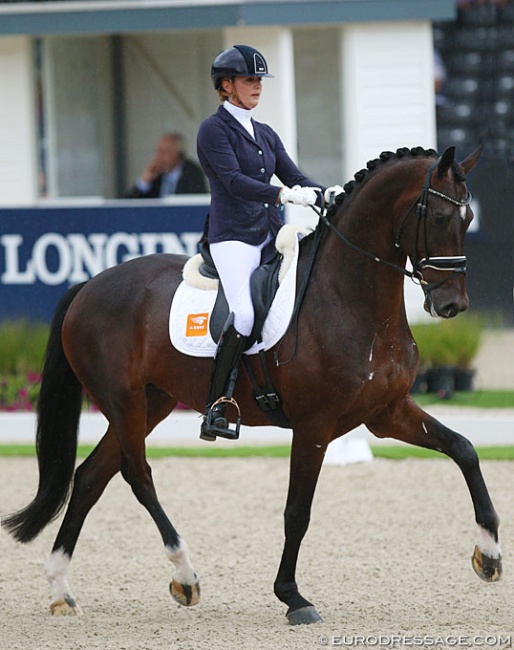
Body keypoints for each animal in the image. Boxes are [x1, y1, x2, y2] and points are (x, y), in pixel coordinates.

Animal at [3, 143, 500, 624]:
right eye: (439, 218)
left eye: (468, 220)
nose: (452, 305)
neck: (349, 297)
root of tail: (87, 286)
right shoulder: (315, 425)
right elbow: (297, 511)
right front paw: (292, 596)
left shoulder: (387, 413)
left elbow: (464, 449)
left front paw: (490, 554)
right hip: (123, 401)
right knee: (136, 474)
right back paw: (185, 575)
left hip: (151, 402)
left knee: (91, 477)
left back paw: (62, 591)